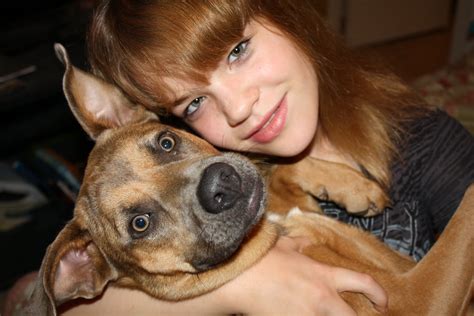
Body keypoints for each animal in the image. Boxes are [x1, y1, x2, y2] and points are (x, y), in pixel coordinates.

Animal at [12, 45, 472, 316]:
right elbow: (465, 211)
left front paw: (349, 185)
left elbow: (287, 165)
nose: (220, 185)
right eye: (140, 224)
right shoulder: (419, 295)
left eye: (165, 141)